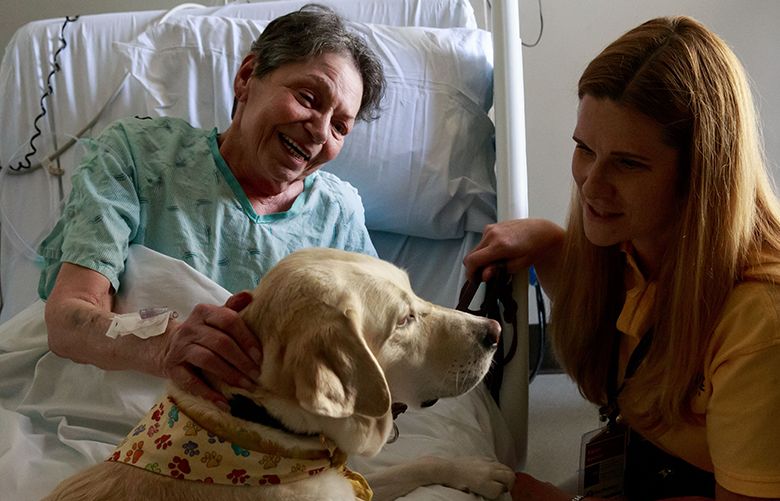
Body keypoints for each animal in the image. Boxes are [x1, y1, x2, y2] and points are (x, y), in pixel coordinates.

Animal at [45, 248, 516, 498]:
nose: (494, 330)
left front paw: (476, 472)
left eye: (416, 294)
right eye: (404, 321)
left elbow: (415, 464)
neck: (257, 425)